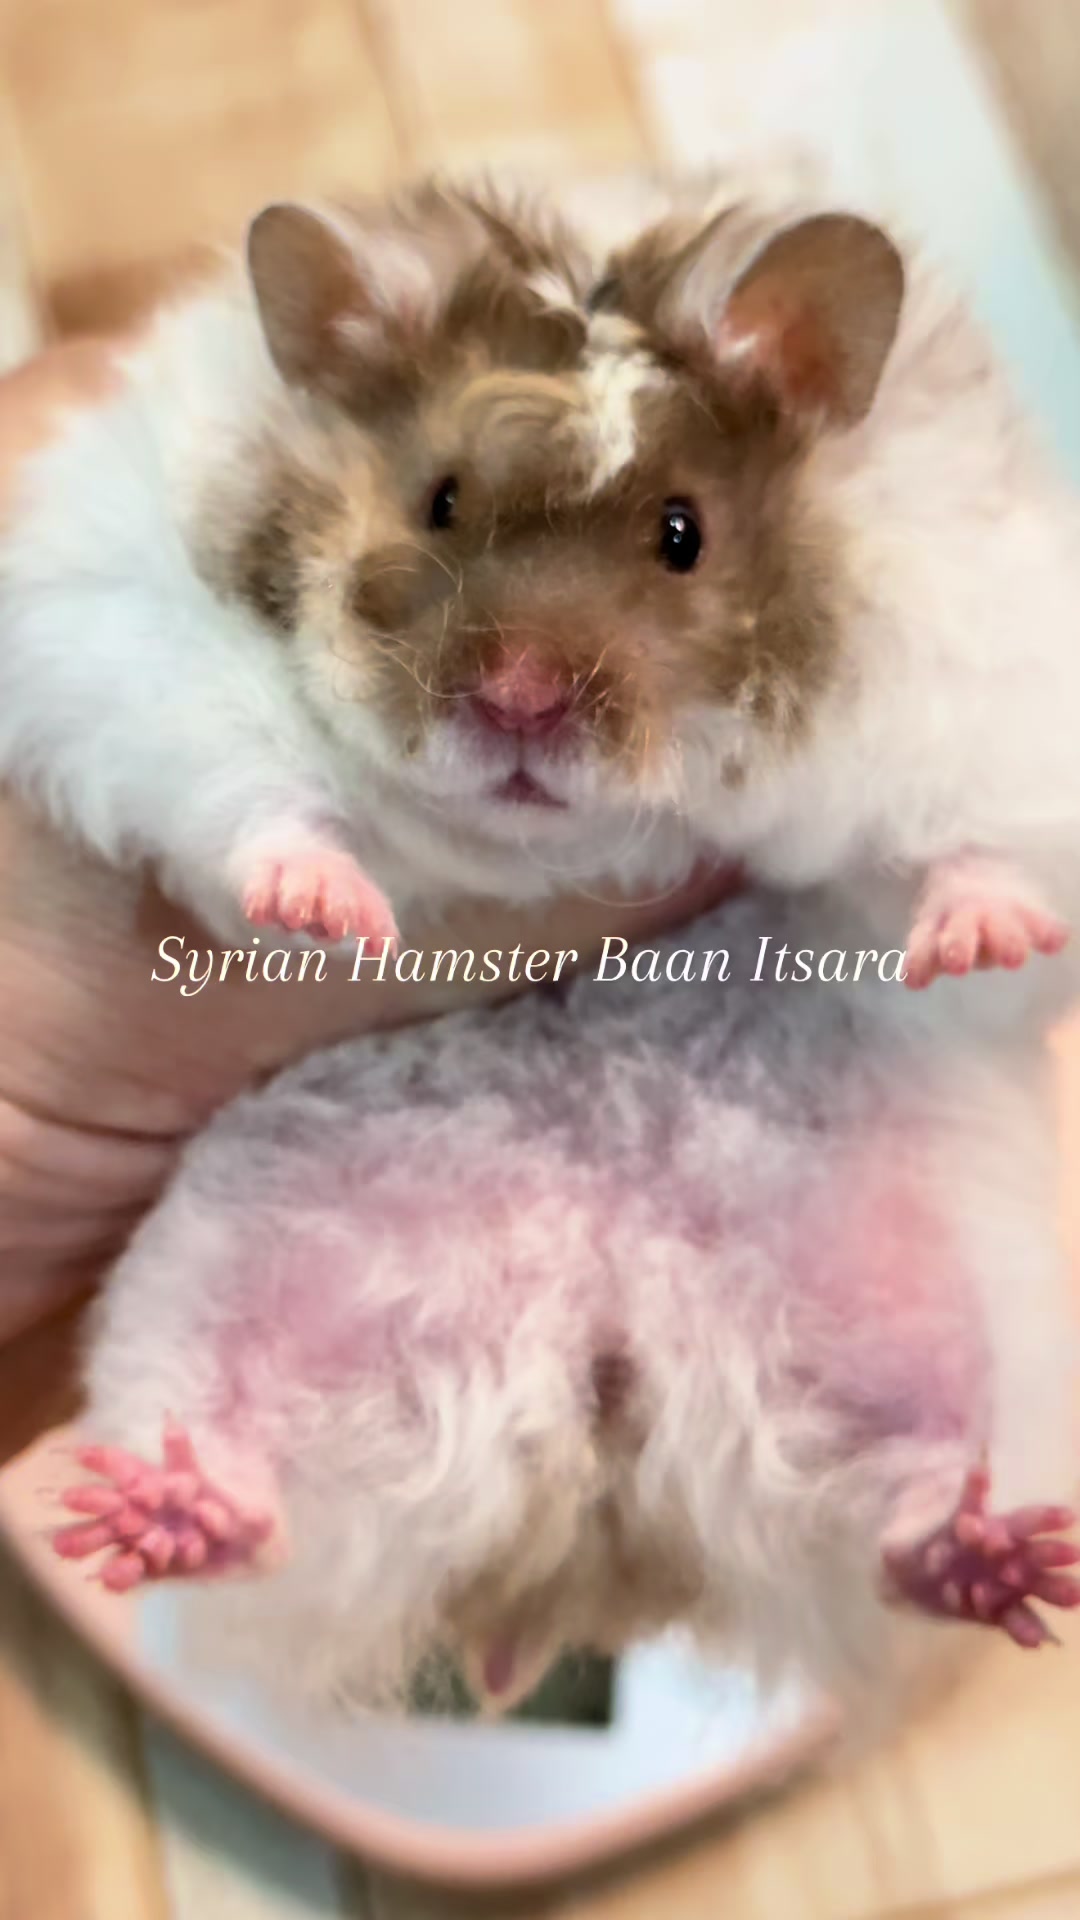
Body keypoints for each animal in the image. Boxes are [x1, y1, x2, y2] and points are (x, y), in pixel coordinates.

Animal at [52, 889, 1080, 1720]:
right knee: (246, 1498)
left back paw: (987, 1557)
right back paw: (170, 1514)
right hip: (214, 1264)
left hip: (945, 1290)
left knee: (914, 1511)